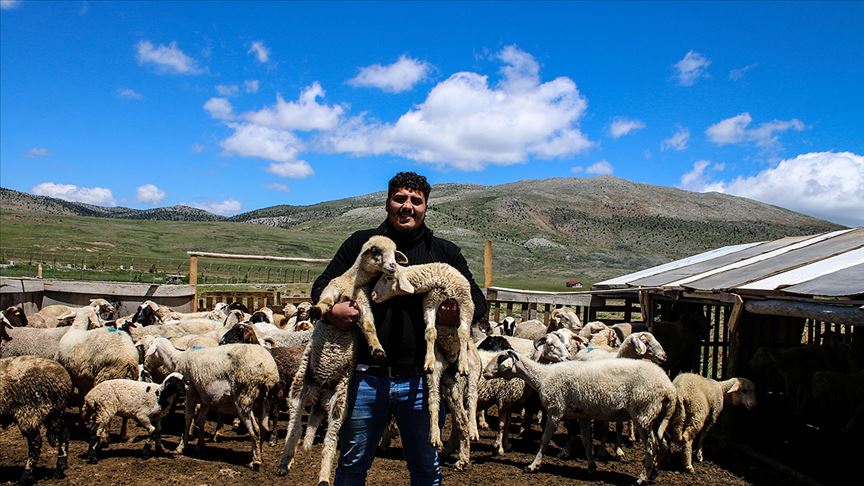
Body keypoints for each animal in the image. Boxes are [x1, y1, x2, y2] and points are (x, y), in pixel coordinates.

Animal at [143, 336, 276, 468]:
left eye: (149, 349)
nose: (145, 366)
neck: (177, 359)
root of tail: (268, 370)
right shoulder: (206, 399)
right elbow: (201, 420)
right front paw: (199, 445)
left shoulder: (190, 392)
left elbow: (188, 419)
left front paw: (181, 447)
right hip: (264, 402)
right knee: (263, 429)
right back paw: (257, 455)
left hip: (244, 397)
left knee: (255, 430)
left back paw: (255, 461)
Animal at [486, 350, 676, 482]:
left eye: (500, 360)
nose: (485, 373)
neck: (542, 377)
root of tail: (669, 388)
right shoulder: (583, 415)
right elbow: (586, 441)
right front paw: (591, 467)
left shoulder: (555, 411)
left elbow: (544, 439)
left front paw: (533, 465)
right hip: (656, 417)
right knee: (663, 444)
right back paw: (654, 473)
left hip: (643, 414)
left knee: (652, 447)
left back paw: (642, 477)